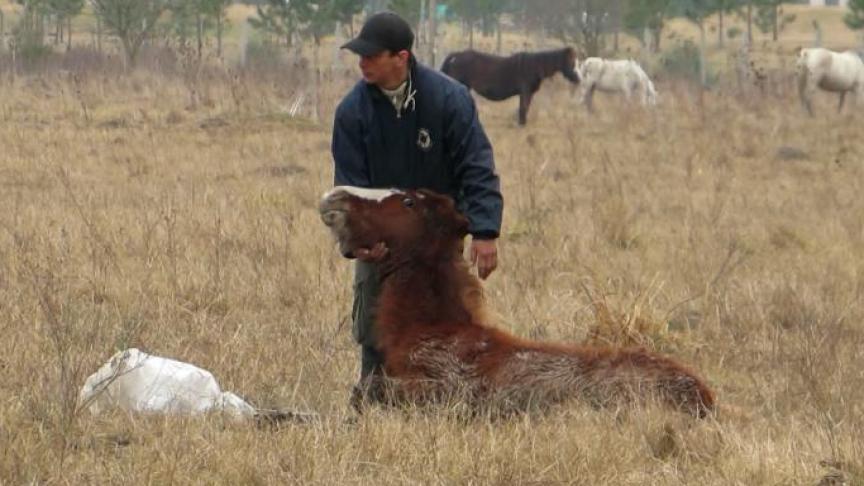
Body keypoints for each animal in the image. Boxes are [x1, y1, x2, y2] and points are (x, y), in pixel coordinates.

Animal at [318, 186, 716, 418]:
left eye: (407, 201)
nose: (335, 197)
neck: (424, 325)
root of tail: (705, 399)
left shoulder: (438, 392)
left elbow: (365, 390)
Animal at [442, 47, 576, 125]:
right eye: (570, 61)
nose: (576, 78)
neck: (535, 66)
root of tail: (457, 55)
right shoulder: (525, 91)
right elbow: (523, 108)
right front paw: (521, 125)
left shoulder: (528, 93)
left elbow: (525, 108)